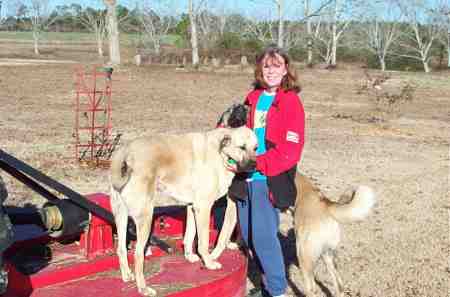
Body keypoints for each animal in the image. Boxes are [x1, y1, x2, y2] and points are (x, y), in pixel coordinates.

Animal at [109, 126, 256, 294]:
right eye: (242, 147)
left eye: (256, 148)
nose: (255, 165)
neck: (220, 153)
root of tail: (125, 152)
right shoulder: (203, 207)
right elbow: (203, 242)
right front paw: (209, 263)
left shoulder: (193, 207)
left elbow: (189, 236)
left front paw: (189, 256)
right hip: (145, 218)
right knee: (138, 254)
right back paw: (143, 288)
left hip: (121, 216)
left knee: (121, 249)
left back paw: (127, 276)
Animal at [211, 173, 376, 296]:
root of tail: (325, 204)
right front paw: (235, 244)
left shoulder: (233, 204)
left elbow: (224, 233)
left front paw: (213, 256)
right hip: (327, 256)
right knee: (339, 286)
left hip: (303, 256)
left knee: (312, 289)